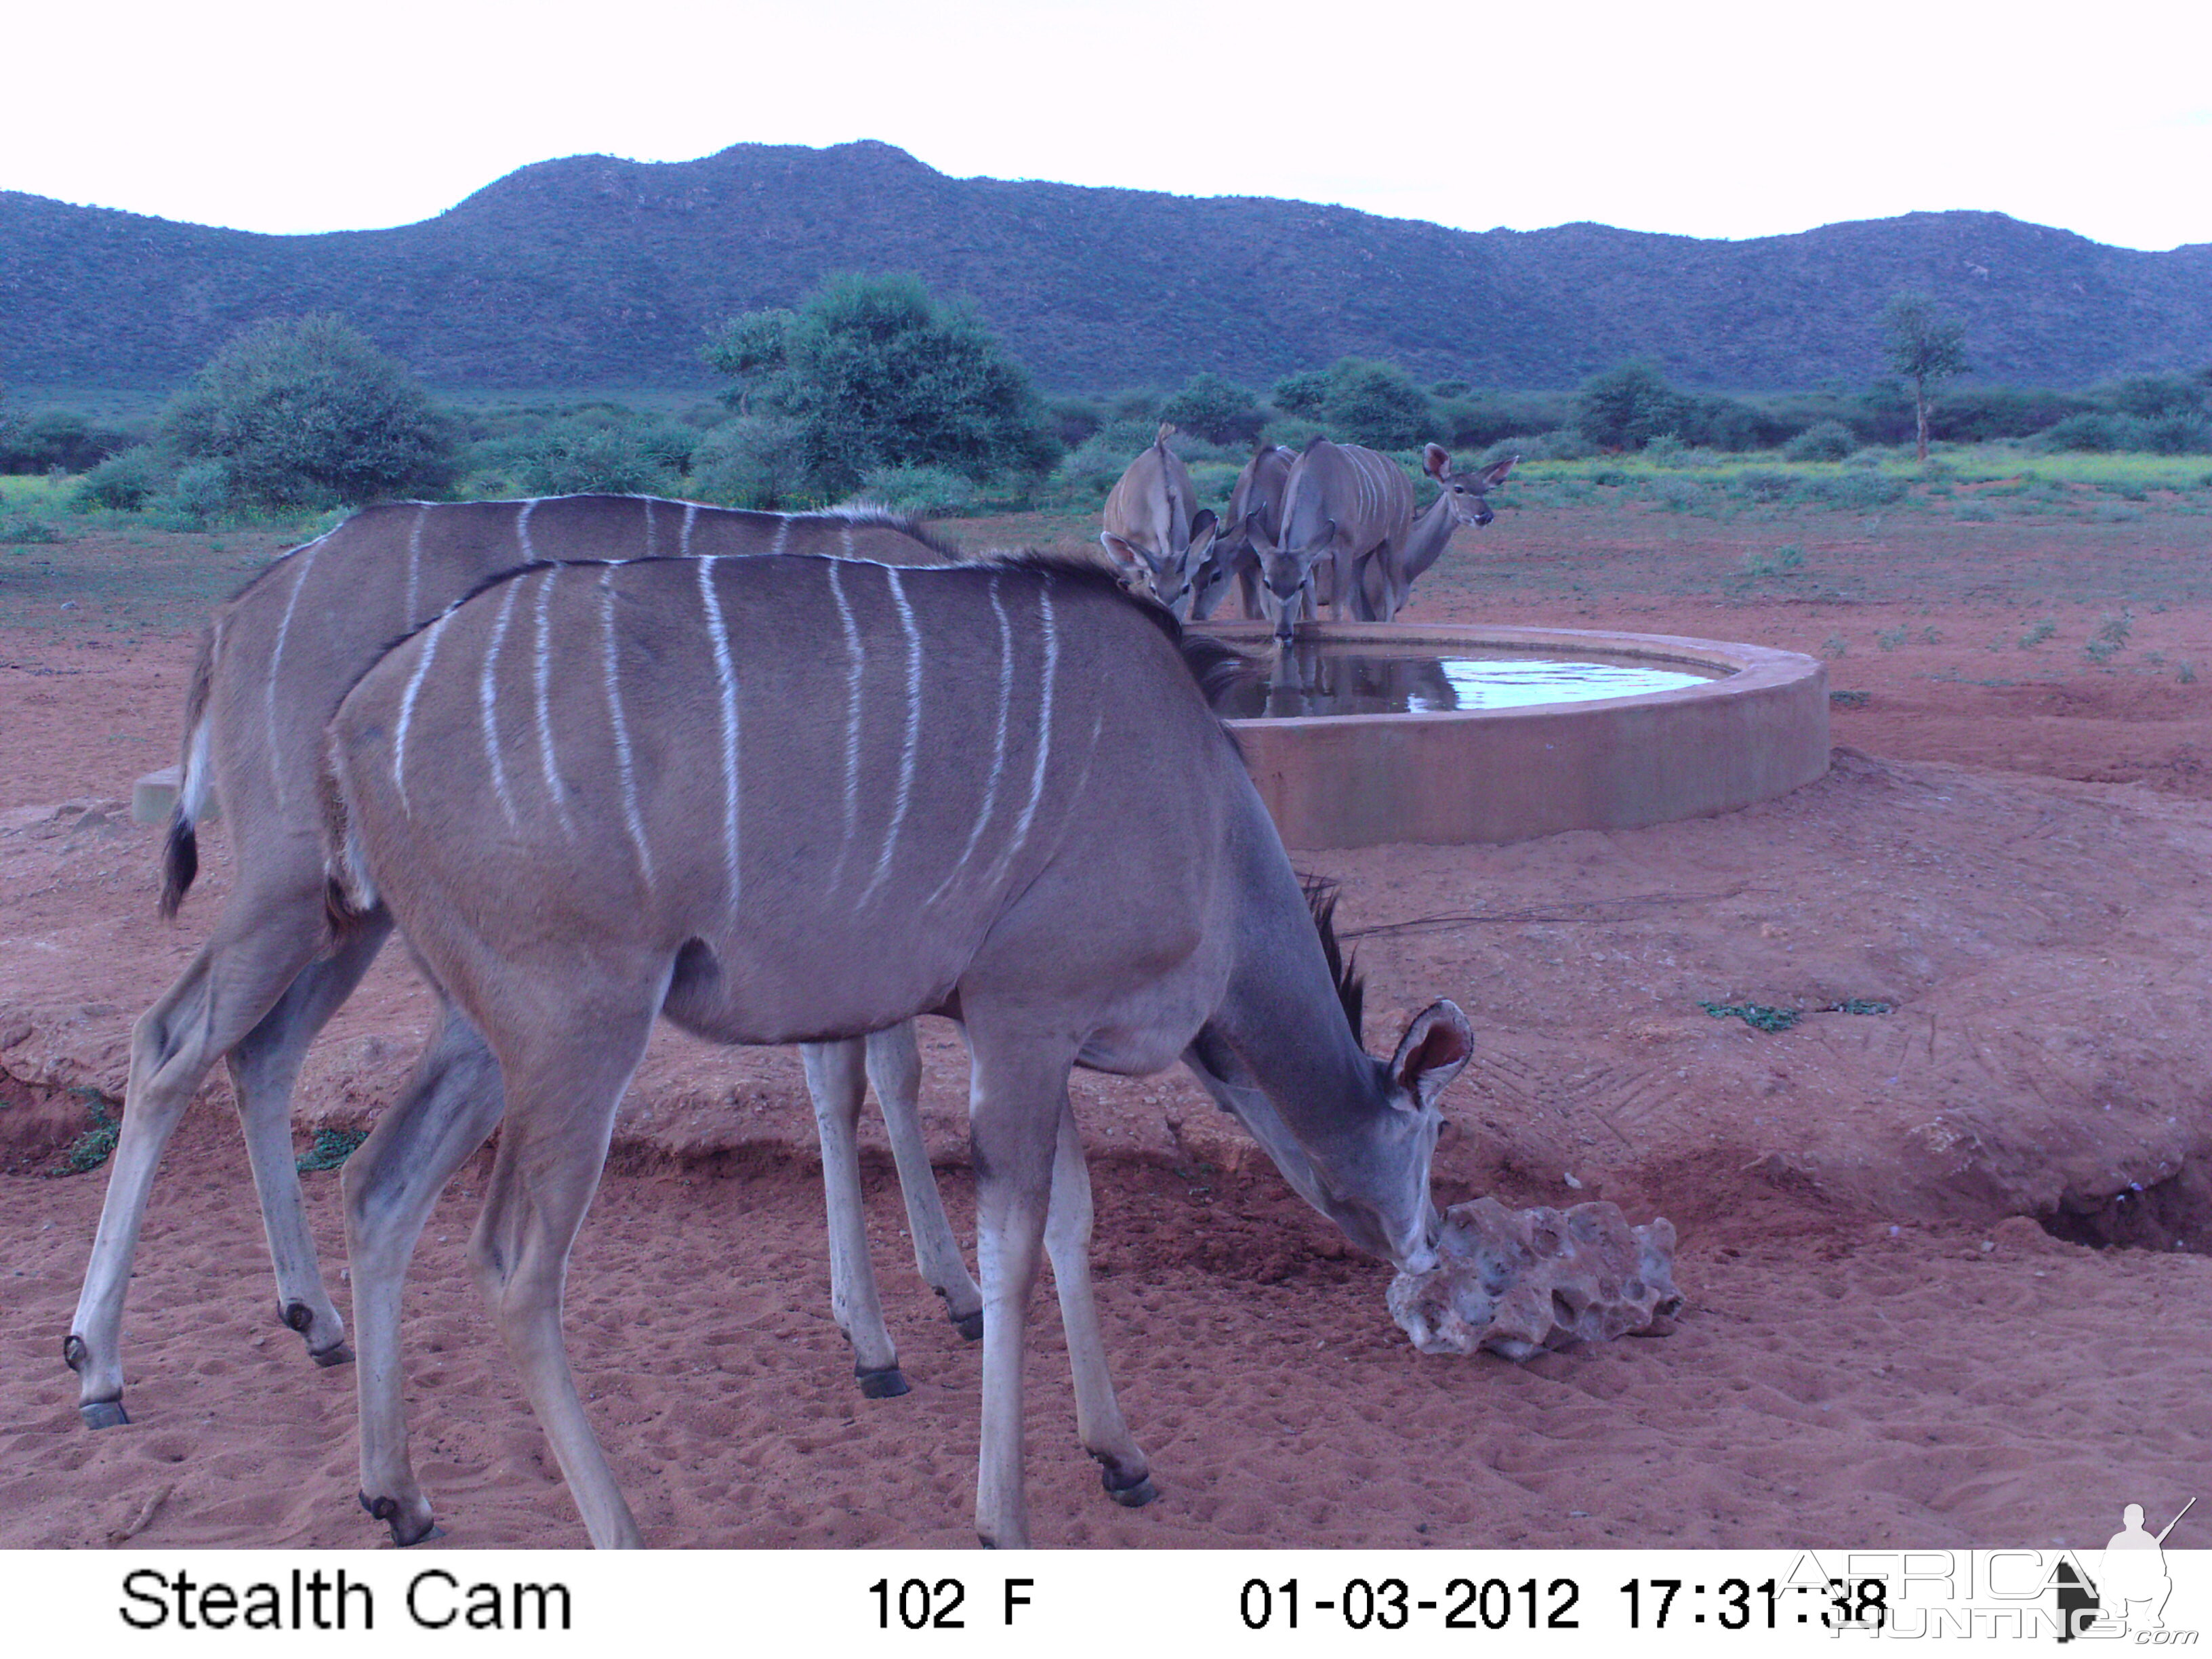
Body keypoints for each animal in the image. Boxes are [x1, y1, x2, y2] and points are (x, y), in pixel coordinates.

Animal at [64, 499, 982, 1433]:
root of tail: (238, 612)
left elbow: (885, 1077)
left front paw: (945, 1294)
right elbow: (856, 1086)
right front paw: (883, 1333)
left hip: (350, 915)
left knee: (263, 1051)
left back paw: (314, 1318)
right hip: (287, 885)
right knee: (169, 1041)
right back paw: (99, 1366)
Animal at [323, 553, 1469, 1557]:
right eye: (1432, 1134)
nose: (1426, 1252)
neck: (1212, 824)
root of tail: (352, 718)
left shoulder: (1037, 1032)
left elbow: (1071, 1220)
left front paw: (1120, 1454)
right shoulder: (1025, 1015)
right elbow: (1012, 1248)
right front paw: (1003, 1518)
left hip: (482, 1029)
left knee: (380, 1184)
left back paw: (399, 1495)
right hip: (578, 1028)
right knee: (515, 1269)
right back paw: (622, 1537)